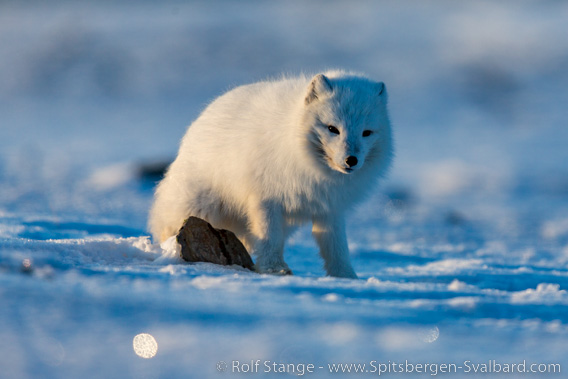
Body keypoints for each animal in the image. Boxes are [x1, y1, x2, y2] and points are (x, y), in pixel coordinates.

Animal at [149, 70, 392, 280]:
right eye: (333, 129)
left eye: (366, 132)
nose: (351, 160)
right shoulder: (265, 199)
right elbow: (269, 237)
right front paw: (274, 270)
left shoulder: (330, 208)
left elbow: (336, 246)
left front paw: (346, 277)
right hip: (198, 208)